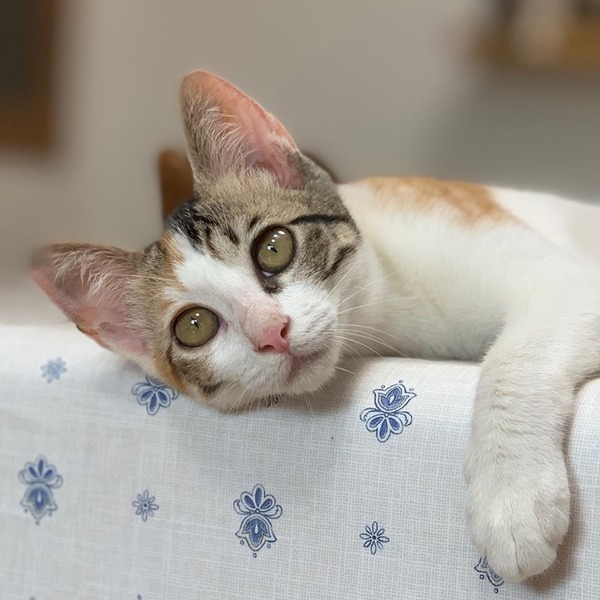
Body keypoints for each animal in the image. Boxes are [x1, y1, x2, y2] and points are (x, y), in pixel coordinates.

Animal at [31, 70, 600, 584]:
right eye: (193, 326)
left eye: (273, 247)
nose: (271, 331)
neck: (385, 299)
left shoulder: (562, 275)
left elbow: (513, 360)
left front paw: (512, 500)